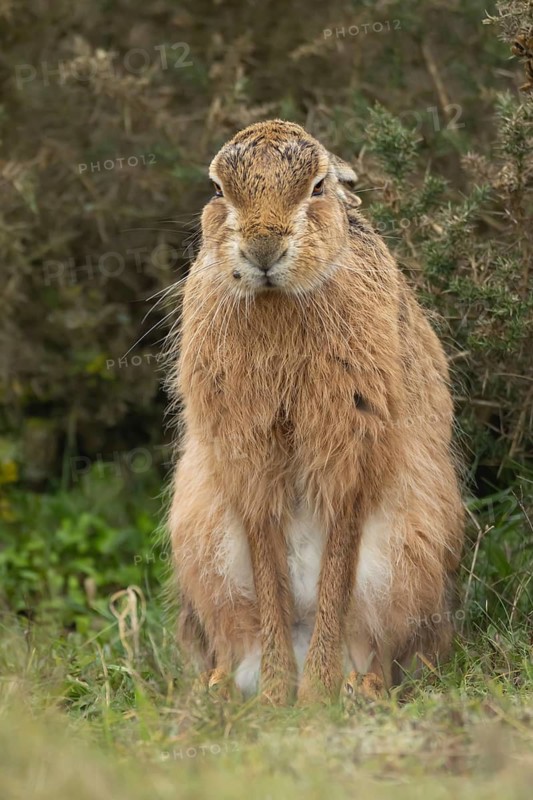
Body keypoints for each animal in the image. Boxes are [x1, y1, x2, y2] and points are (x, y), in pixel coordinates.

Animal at [167, 119, 464, 705]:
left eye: (318, 187)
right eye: (217, 191)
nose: (263, 248)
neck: (279, 300)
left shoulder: (353, 447)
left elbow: (336, 566)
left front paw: (315, 700)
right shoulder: (248, 460)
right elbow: (267, 563)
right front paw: (279, 697)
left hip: (408, 555)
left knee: (377, 639)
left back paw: (355, 687)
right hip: (203, 543)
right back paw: (225, 688)